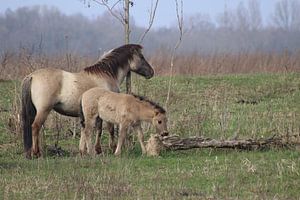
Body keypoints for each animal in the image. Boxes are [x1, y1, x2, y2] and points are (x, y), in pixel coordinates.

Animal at [20, 43, 155, 158]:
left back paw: (29, 153)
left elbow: (91, 129)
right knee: (35, 127)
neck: (105, 75)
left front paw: (86, 150)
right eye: (141, 57)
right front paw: (106, 149)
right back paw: (37, 153)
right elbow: (107, 129)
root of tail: (32, 76)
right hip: (44, 110)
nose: (151, 72)